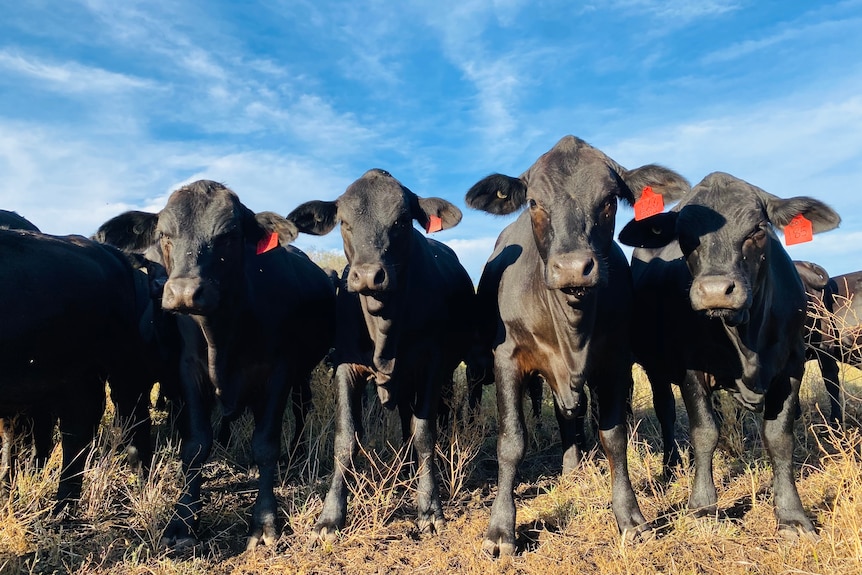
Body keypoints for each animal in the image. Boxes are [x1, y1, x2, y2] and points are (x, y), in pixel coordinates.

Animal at [97, 182, 334, 552]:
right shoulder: (189, 374)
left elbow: (265, 446)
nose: (183, 292)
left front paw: (264, 521)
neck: (223, 333)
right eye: (164, 234)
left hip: (301, 377)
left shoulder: (278, 374)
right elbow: (196, 446)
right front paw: (182, 522)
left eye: (228, 235)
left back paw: (295, 455)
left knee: (301, 409)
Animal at [286, 169, 472, 544]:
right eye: (344, 222)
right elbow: (346, 438)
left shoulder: (431, 365)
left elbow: (424, 434)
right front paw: (330, 517)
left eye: (401, 221)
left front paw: (430, 508)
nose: (370, 275)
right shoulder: (346, 365)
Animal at [466, 136, 688, 560]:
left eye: (608, 200)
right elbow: (511, 442)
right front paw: (501, 529)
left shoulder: (615, 361)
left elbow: (613, 437)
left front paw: (630, 518)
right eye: (534, 202)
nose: (572, 268)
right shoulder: (507, 360)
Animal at [624, 172, 840, 540]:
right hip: (655, 367)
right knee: (666, 411)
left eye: (758, 230)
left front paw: (792, 515)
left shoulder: (791, 366)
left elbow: (779, 438)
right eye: (685, 237)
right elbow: (704, 432)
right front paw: (703, 506)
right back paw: (669, 468)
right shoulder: (691, 369)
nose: (715, 291)